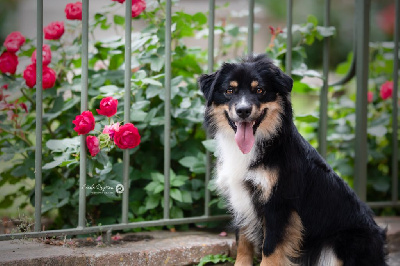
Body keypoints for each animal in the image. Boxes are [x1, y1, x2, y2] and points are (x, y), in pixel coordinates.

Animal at [198, 54, 386, 266]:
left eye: (260, 90)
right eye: (229, 91)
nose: (243, 110)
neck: (261, 143)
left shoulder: (279, 204)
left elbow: (270, 249)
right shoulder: (241, 197)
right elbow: (243, 241)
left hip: (343, 242)